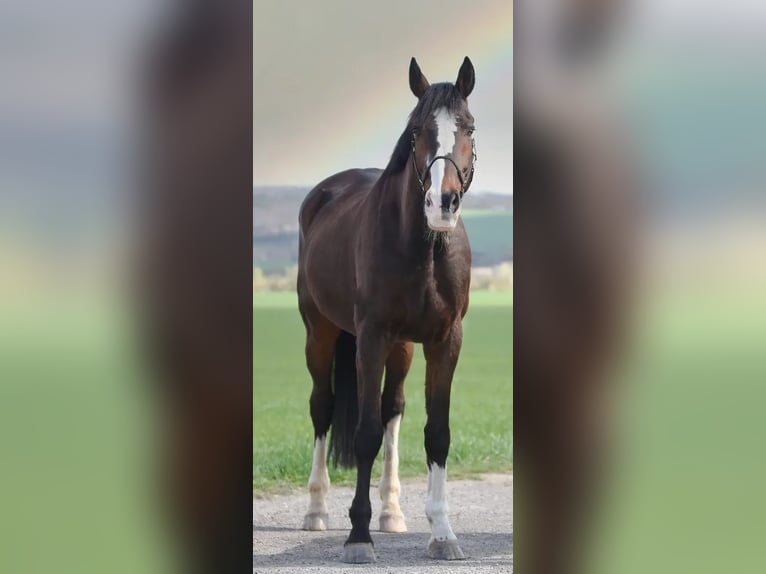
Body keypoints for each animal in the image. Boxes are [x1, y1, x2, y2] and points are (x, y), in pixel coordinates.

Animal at [296, 57, 478, 563]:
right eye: (416, 130)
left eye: (469, 128)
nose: (442, 203)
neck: (424, 247)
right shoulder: (372, 337)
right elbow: (364, 434)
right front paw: (358, 536)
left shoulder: (444, 341)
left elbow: (436, 433)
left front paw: (442, 534)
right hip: (320, 334)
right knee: (322, 407)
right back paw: (317, 509)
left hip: (401, 348)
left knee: (392, 407)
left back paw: (393, 512)